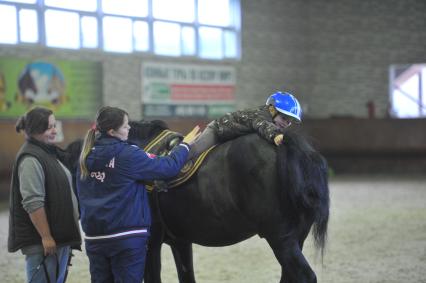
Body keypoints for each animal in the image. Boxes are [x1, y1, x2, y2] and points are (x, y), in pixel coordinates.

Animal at [65, 120, 330, 283]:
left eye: (74, 174)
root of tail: (287, 145)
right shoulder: (181, 242)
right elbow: (187, 277)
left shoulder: (150, 243)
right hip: (295, 237)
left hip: (281, 238)